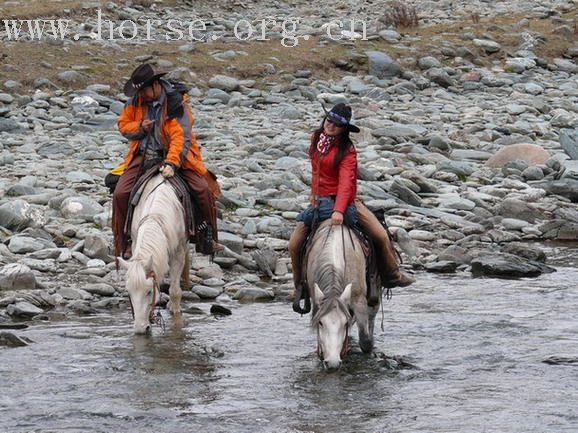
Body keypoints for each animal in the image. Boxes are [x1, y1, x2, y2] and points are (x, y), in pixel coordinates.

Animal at [117, 174, 189, 332]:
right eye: (129, 292)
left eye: (149, 291)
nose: (140, 328)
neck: (156, 215)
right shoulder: (135, 241)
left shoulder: (178, 251)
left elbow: (175, 291)